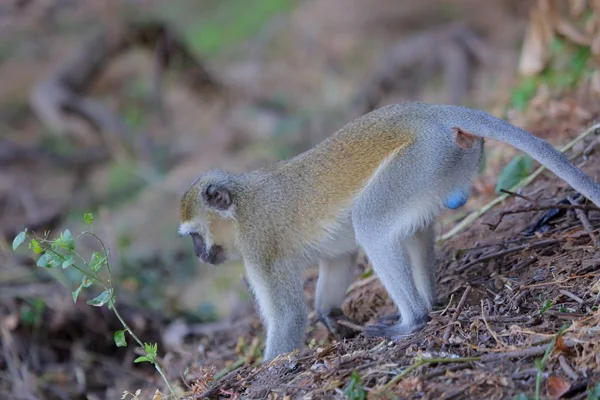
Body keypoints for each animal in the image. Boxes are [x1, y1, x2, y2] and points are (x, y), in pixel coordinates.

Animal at [178, 101, 600, 360]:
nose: (199, 254)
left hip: (421, 157)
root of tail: (433, 112)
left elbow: (287, 318)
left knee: (372, 223)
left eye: (195, 235)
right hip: (440, 165)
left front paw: (272, 364)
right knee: (413, 229)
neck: (241, 206)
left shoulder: (259, 245)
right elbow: (339, 260)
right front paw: (329, 314)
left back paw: (413, 319)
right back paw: (430, 304)